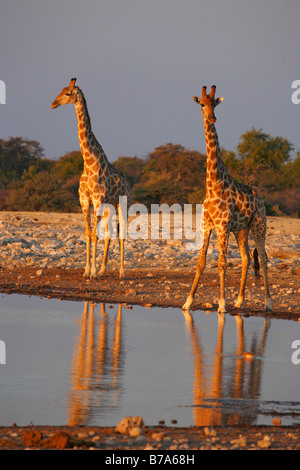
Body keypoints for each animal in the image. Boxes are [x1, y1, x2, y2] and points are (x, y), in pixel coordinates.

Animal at [51, 78, 132, 280]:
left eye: (68, 93)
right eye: (61, 90)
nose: (53, 104)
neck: (89, 162)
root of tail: (128, 183)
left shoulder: (97, 199)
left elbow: (95, 235)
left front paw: (93, 272)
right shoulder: (84, 200)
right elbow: (88, 233)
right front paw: (87, 270)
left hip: (123, 204)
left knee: (121, 233)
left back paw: (121, 272)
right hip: (109, 207)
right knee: (109, 233)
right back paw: (103, 270)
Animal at [182, 86, 274, 314]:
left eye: (215, 103)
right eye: (202, 104)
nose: (212, 118)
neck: (213, 185)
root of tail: (261, 199)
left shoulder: (222, 225)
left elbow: (222, 263)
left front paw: (222, 304)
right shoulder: (207, 225)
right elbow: (201, 262)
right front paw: (188, 302)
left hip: (258, 225)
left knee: (264, 258)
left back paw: (268, 303)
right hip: (241, 230)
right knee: (246, 257)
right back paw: (240, 300)